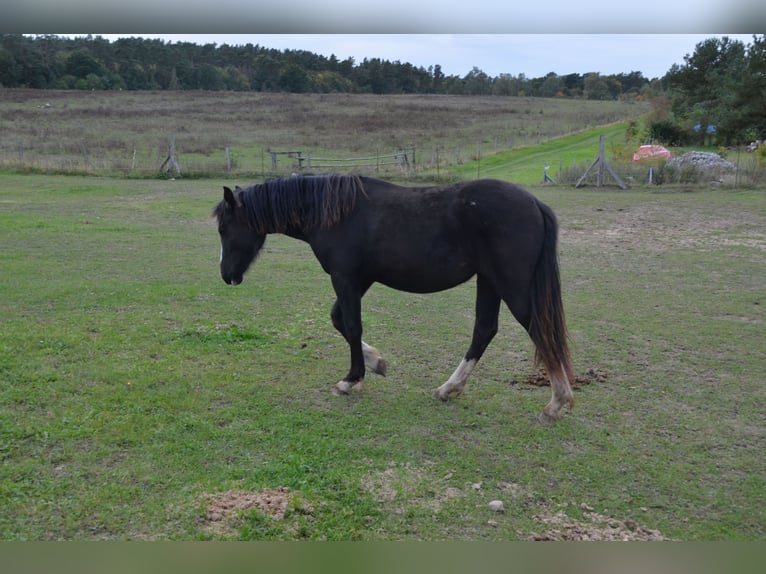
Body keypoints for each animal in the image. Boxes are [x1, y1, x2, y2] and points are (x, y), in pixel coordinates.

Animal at [213, 174, 575, 421]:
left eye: (223, 229)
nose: (226, 275)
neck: (336, 213)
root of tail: (534, 204)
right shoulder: (360, 279)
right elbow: (339, 320)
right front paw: (377, 362)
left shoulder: (345, 278)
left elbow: (352, 326)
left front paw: (351, 380)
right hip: (488, 282)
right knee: (484, 330)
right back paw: (449, 389)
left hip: (511, 287)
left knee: (538, 330)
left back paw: (557, 402)